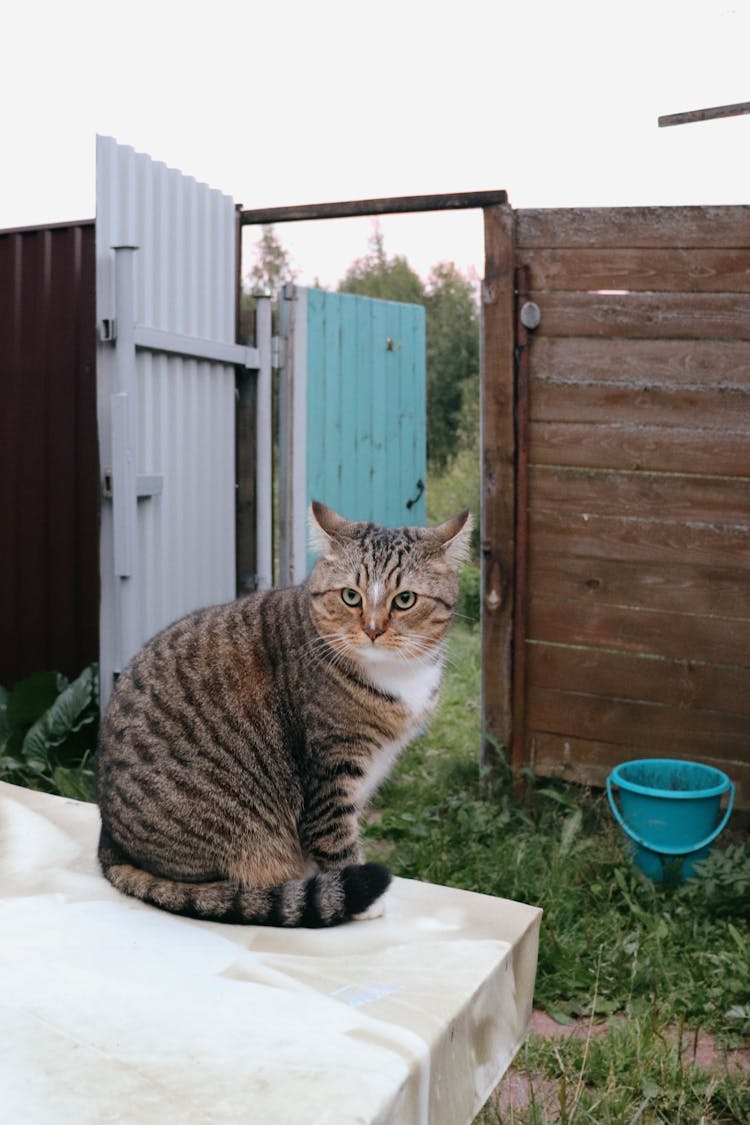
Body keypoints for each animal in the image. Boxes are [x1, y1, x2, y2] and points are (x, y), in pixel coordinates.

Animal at [93, 501, 470, 922]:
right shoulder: (329, 768)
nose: (373, 629)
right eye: (350, 596)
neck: (394, 673)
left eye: (405, 599)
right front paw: (365, 898)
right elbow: (334, 836)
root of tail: (110, 843)